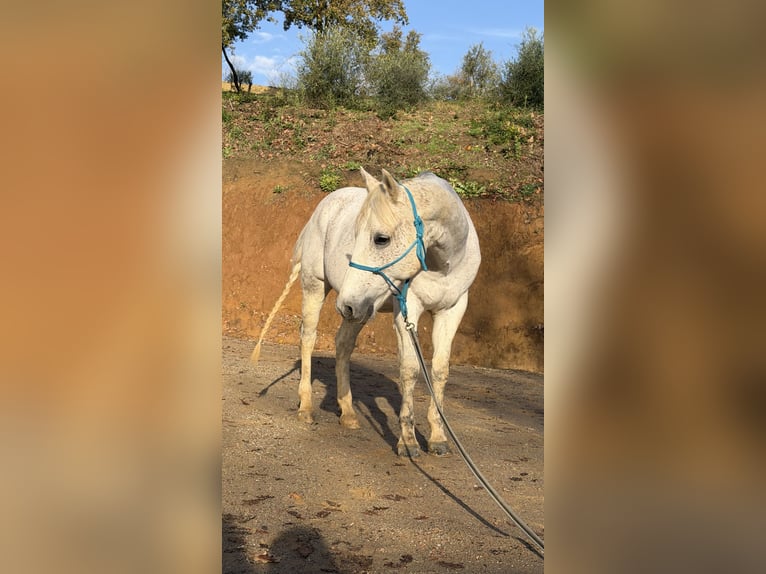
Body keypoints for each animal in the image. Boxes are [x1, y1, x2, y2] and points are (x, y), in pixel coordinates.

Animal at [252, 168, 481, 458]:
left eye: (381, 239)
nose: (344, 304)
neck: (443, 266)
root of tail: (322, 208)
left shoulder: (452, 310)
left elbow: (440, 370)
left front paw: (438, 438)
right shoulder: (407, 310)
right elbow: (410, 369)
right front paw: (408, 442)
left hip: (359, 310)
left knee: (343, 344)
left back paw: (348, 413)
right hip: (319, 287)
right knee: (308, 338)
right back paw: (306, 407)